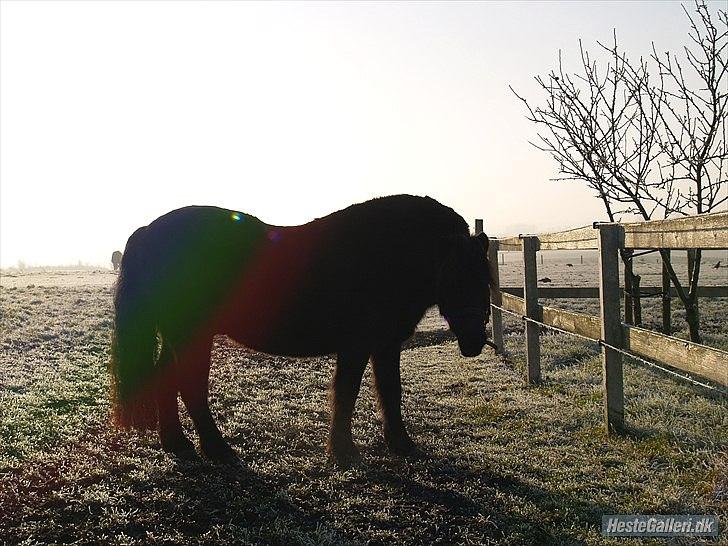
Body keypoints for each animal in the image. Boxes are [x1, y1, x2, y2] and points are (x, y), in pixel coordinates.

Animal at [109, 193, 494, 462]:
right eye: (457, 276)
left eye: (484, 277)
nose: (476, 340)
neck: (384, 255)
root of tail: (150, 230)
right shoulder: (356, 345)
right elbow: (347, 393)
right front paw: (343, 452)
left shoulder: (385, 345)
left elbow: (390, 392)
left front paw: (400, 444)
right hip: (194, 336)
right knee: (190, 386)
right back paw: (218, 450)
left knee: (166, 381)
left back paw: (177, 444)